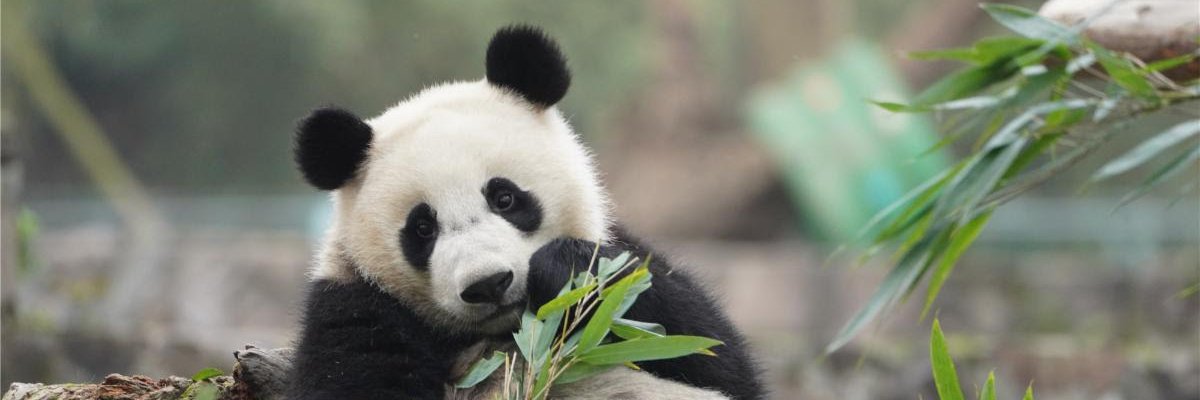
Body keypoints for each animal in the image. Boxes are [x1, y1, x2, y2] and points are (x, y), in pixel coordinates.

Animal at [287, 25, 765, 400]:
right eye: (422, 228)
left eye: (505, 198)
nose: (488, 283)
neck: (512, 331)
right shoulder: (356, 304)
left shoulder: (627, 261)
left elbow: (709, 352)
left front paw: (566, 270)